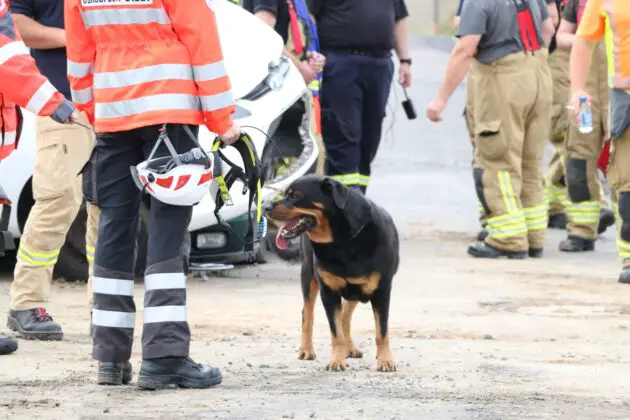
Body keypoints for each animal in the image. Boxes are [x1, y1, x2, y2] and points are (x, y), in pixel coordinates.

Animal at [266, 176, 400, 372]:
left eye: (295, 196)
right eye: (285, 193)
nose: (266, 207)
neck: (341, 241)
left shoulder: (381, 291)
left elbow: (381, 331)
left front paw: (385, 360)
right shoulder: (328, 291)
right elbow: (335, 332)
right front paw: (337, 360)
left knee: (345, 315)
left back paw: (349, 348)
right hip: (308, 275)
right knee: (308, 314)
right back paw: (307, 349)